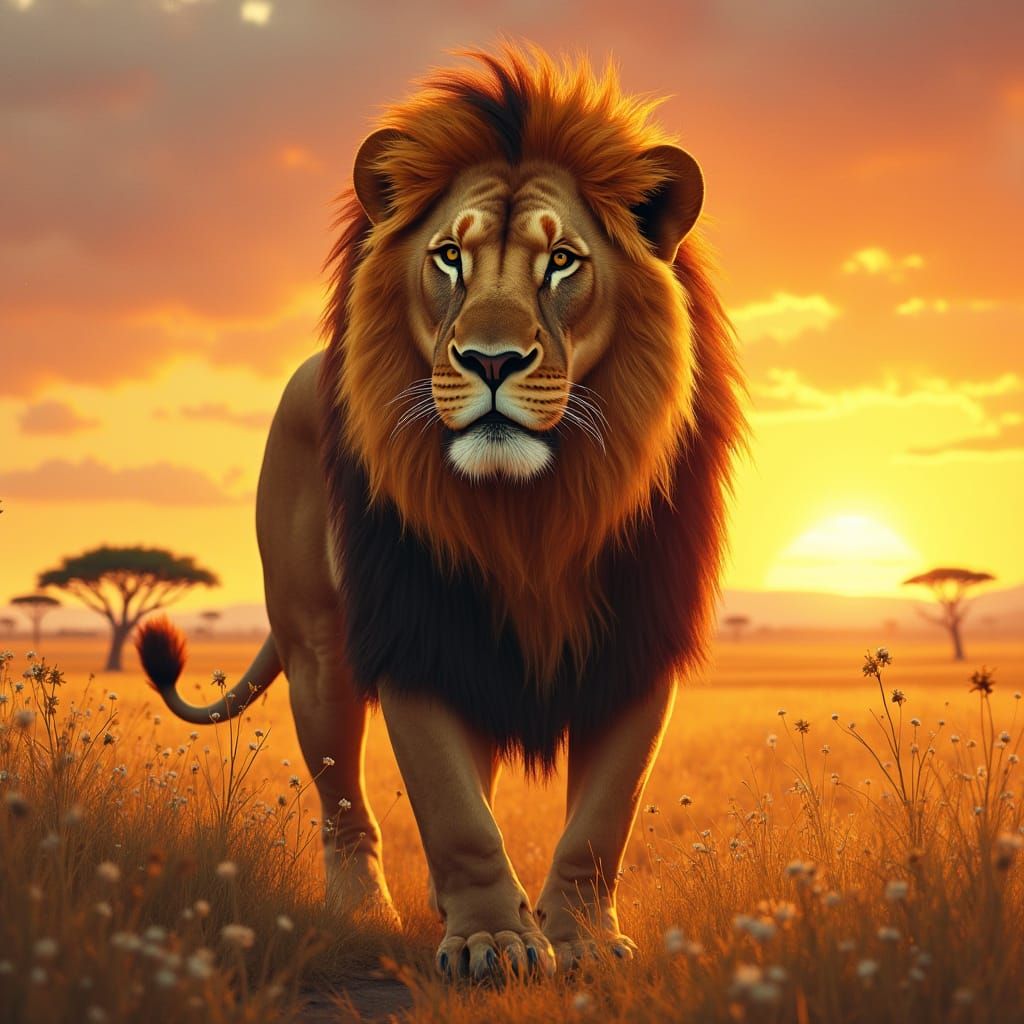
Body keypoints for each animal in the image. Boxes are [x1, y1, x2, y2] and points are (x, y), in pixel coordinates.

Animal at [137, 45, 746, 981]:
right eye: (450, 256)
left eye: (562, 262)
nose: (491, 361)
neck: (531, 509)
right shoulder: (412, 628)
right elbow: (453, 809)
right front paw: (494, 940)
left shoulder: (641, 638)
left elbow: (602, 817)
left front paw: (580, 939)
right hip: (319, 648)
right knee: (344, 800)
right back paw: (366, 911)